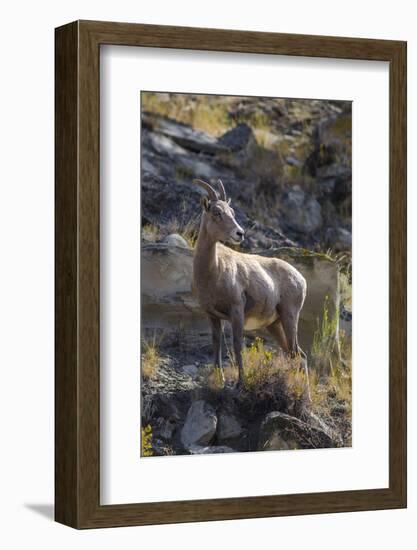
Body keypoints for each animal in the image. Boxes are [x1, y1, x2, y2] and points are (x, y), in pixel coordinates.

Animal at [192, 178, 308, 396]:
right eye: (217, 212)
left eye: (232, 212)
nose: (240, 233)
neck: (213, 271)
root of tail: (301, 280)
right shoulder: (212, 315)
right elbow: (216, 344)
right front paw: (218, 380)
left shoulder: (236, 311)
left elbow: (238, 345)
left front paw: (240, 383)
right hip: (274, 325)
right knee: (296, 355)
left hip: (289, 317)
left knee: (298, 355)